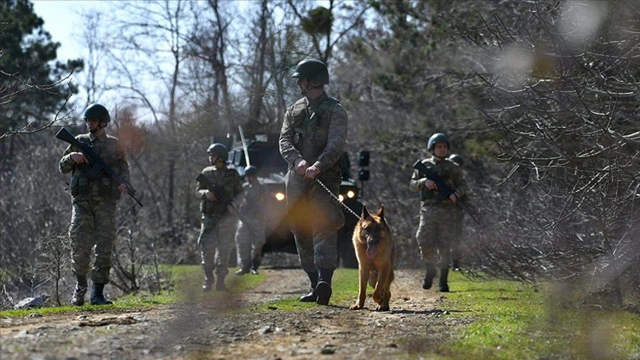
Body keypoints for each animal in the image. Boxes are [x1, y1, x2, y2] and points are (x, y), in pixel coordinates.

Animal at [58, 102, 131, 306]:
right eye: (89, 119)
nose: (90, 122)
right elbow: (65, 162)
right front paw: (76, 157)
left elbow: (123, 167)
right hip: (82, 215)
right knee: (81, 244)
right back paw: (80, 294)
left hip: (106, 219)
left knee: (104, 245)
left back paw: (98, 295)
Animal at [195, 143, 242, 292]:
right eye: (211, 155)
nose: (210, 157)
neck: (219, 168)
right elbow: (199, 190)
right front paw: (207, 281)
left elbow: (239, 191)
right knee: (208, 245)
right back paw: (208, 281)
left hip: (226, 230)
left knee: (224, 247)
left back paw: (221, 283)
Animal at [280, 57, 348, 306]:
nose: (297, 79)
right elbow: (285, 137)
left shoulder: (339, 116)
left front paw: (324, 286)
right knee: (303, 240)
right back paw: (312, 289)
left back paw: (322, 287)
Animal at [408, 132, 468, 292]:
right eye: (439, 146)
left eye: (443, 146)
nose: (442, 149)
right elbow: (414, 182)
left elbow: (461, 183)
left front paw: (454, 195)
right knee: (427, 240)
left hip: (447, 226)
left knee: (444, 244)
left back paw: (443, 283)